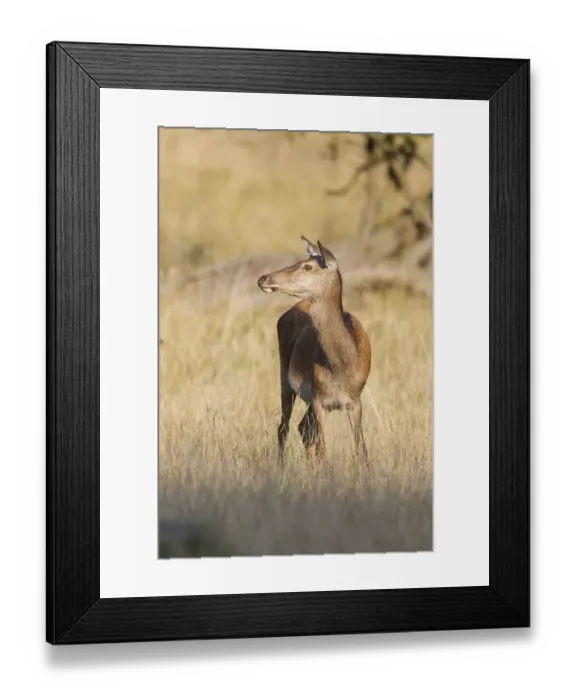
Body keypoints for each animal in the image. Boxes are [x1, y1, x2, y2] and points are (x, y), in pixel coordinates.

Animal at [257, 236, 371, 464]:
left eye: (308, 266)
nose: (263, 278)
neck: (341, 367)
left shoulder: (355, 401)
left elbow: (361, 451)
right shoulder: (320, 400)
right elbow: (323, 450)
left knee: (302, 428)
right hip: (285, 379)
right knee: (284, 427)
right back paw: (281, 467)